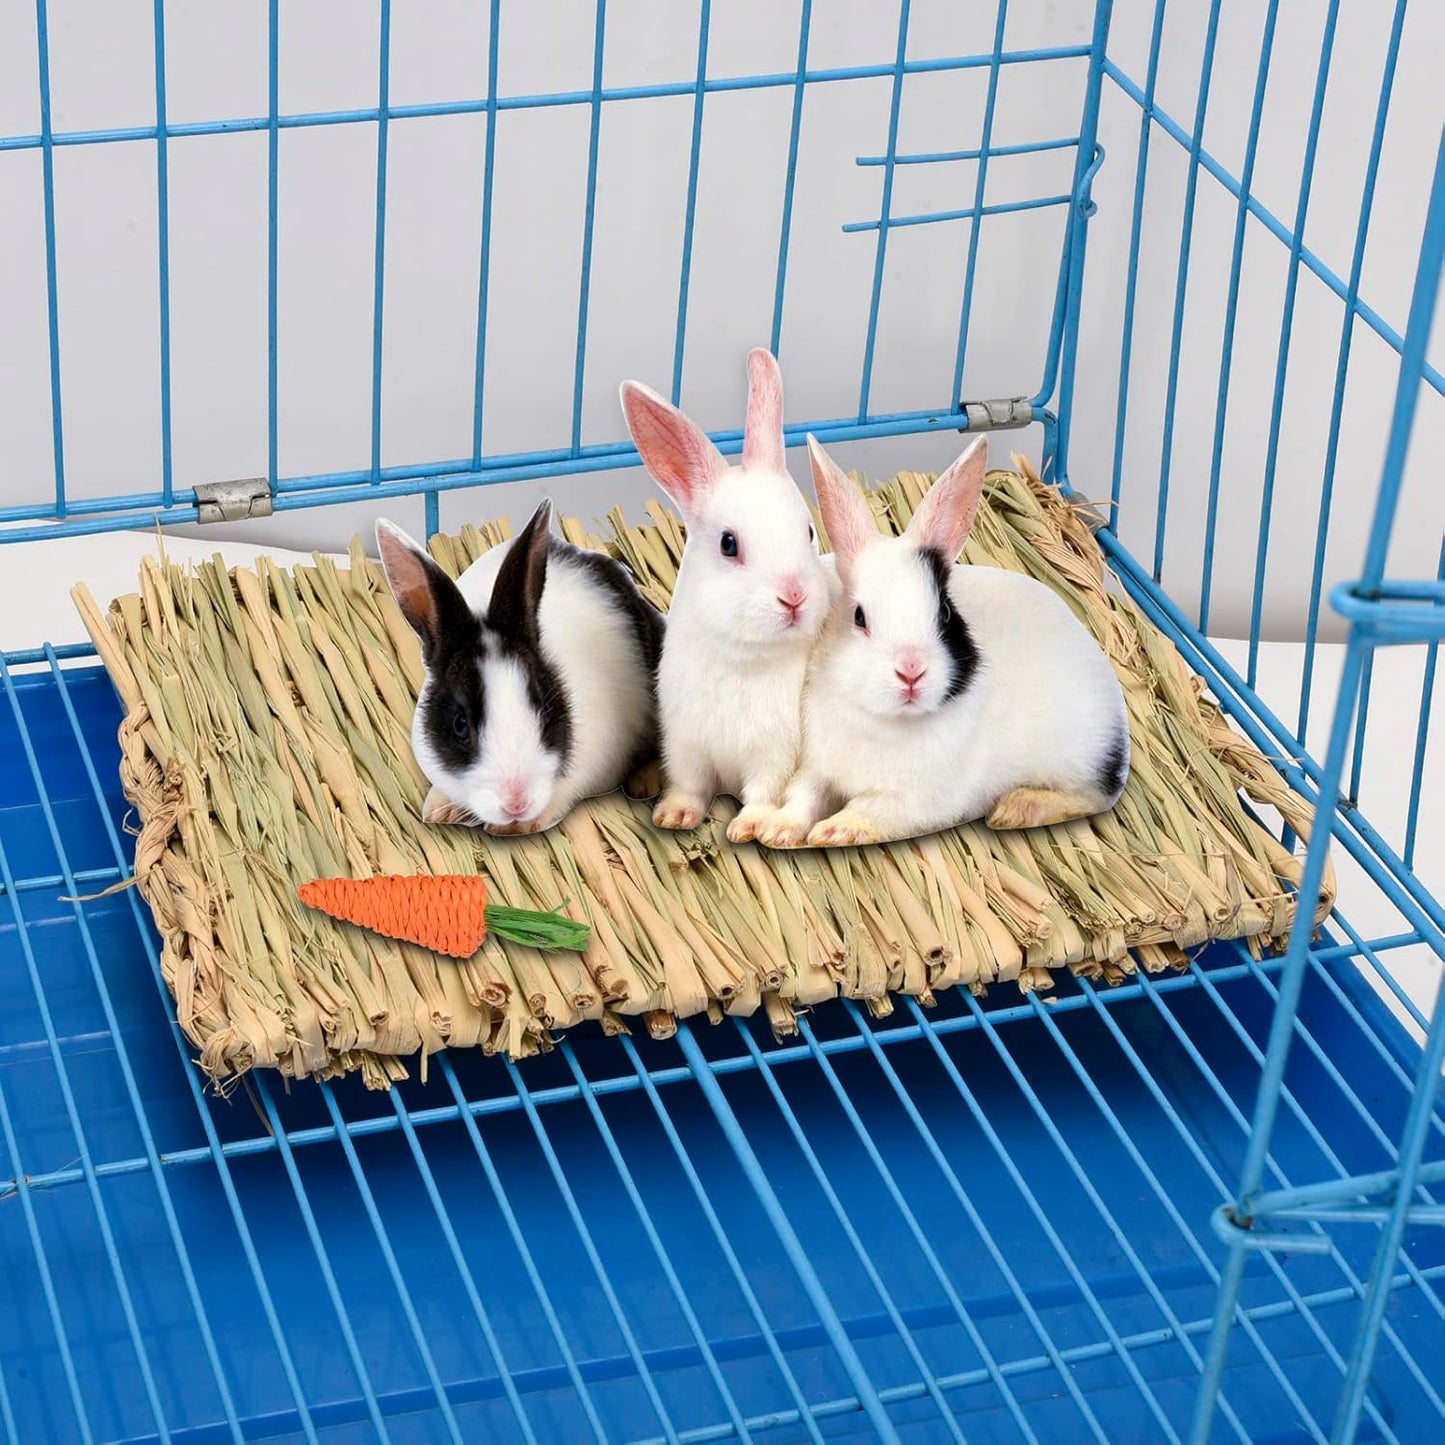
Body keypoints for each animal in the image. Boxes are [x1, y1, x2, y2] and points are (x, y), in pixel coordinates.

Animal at [375, 497, 665, 835]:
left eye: (544, 709)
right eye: (460, 725)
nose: (516, 803)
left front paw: (520, 826)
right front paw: (438, 810)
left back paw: (646, 782)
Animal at [619, 348, 840, 843]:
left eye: (808, 531)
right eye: (728, 544)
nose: (793, 596)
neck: (740, 656)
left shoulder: (773, 755)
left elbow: (763, 791)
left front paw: (749, 827)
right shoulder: (687, 747)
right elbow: (689, 786)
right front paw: (673, 816)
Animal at [756, 434, 1131, 848]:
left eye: (946, 614)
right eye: (859, 617)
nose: (911, 672)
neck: (884, 719)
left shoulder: (913, 803)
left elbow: (869, 812)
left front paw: (833, 830)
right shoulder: (817, 769)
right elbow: (802, 797)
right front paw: (778, 830)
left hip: (1077, 759)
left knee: (1094, 796)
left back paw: (1014, 810)